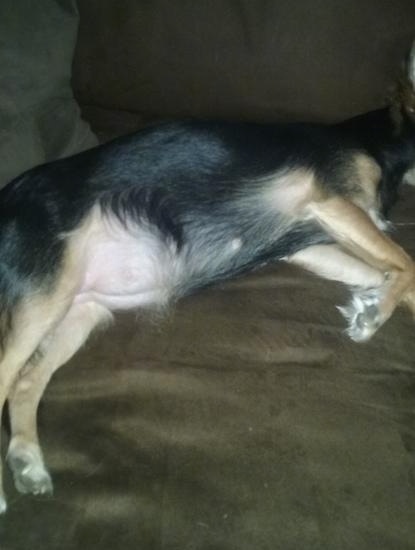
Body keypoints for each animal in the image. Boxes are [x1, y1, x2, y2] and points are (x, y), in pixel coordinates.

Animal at [0, 44, 415, 516]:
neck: (378, 142)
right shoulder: (331, 202)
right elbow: (406, 262)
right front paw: (373, 315)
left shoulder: (313, 243)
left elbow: (394, 273)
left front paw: (373, 303)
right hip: (42, 298)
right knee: (8, 375)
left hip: (76, 311)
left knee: (25, 382)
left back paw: (27, 461)